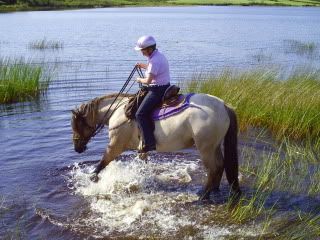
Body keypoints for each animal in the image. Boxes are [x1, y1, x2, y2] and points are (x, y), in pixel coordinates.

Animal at [71, 93, 241, 200]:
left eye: (77, 124)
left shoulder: (115, 146)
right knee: (220, 165)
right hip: (215, 145)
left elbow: (102, 163)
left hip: (206, 148)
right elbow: (144, 165)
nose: (77, 147)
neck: (118, 112)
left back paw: (204, 195)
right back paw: (215, 189)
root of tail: (223, 105)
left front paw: (93, 179)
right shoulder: (142, 150)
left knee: (213, 168)